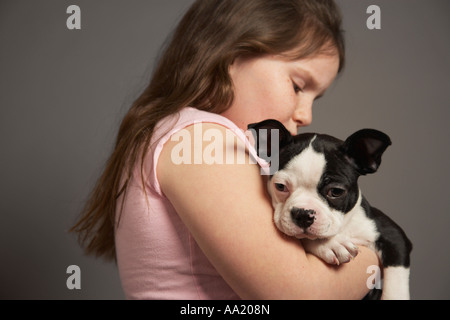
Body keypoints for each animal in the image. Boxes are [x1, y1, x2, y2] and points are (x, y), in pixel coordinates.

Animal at [248, 119, 414, 300]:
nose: (303, 214)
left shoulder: (393, 235)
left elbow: (395, 286)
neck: (344, 228)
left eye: (336, 191)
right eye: (280, 186)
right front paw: (331, 244)